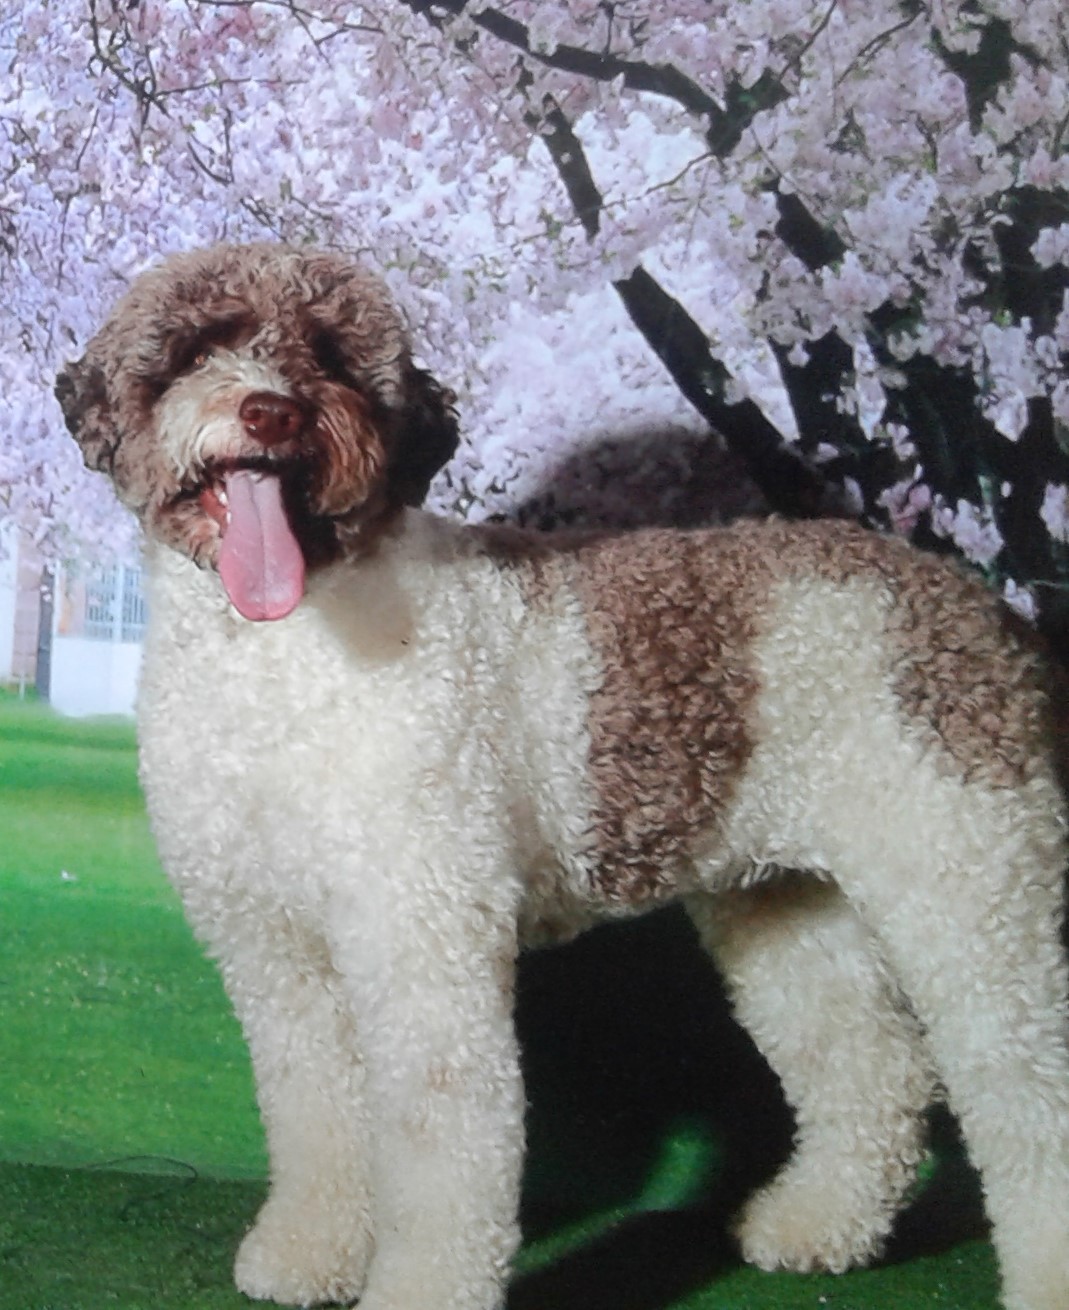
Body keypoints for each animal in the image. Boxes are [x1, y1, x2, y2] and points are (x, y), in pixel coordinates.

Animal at [56, 243, 1069, 1310]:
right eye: (194, 350)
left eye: (331, 356)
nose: (272, 413)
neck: (284, 654)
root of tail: (983, 607)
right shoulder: (276, 948)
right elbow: (312, 1109)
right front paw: (308, 1252)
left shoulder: (421, 939)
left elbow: (440, 1147)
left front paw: (417, 1288)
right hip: (787, 901)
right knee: (872, 1067)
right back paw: (814, 1225)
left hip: (970, 889)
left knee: (1027, 1093)